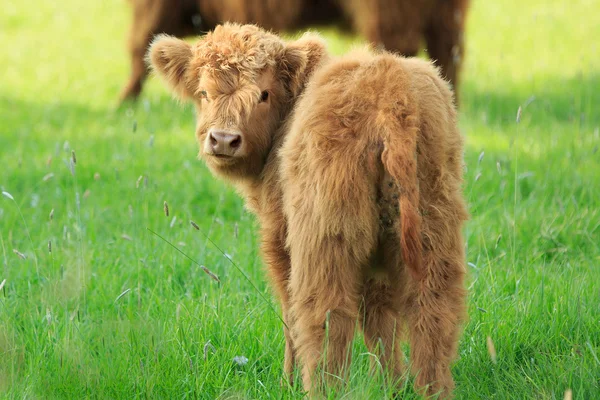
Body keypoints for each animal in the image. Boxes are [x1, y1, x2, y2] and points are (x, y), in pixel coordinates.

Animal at [149, 24, 468, 396]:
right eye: (203, 92)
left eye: (263, 94)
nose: (223, 139)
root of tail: (390, 90)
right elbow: (379, 319)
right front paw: (390, 385)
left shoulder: (279, 239)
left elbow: (290, 313)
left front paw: (286, 381)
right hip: (434, 229)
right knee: (432, 311)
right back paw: (432, 389)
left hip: (326, 237)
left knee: (325, 315)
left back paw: (317, 388)